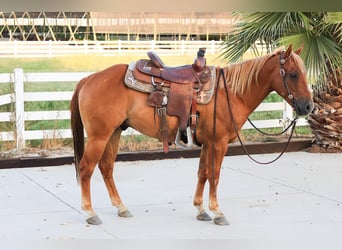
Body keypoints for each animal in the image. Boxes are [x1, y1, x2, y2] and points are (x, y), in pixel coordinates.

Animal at [71, 45, 314, 227]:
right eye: (293, 74)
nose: (308, 106)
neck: (230, 93)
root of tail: (88, 79)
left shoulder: (207, 143)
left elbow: (202, 173)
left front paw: (201, 209)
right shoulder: (219, 143)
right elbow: (214, 175)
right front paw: (217, 212)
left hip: (113, 133)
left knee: (106, 168)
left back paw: (121, 208)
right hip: (99, 137)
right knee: (86, 169)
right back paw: (90, 213)